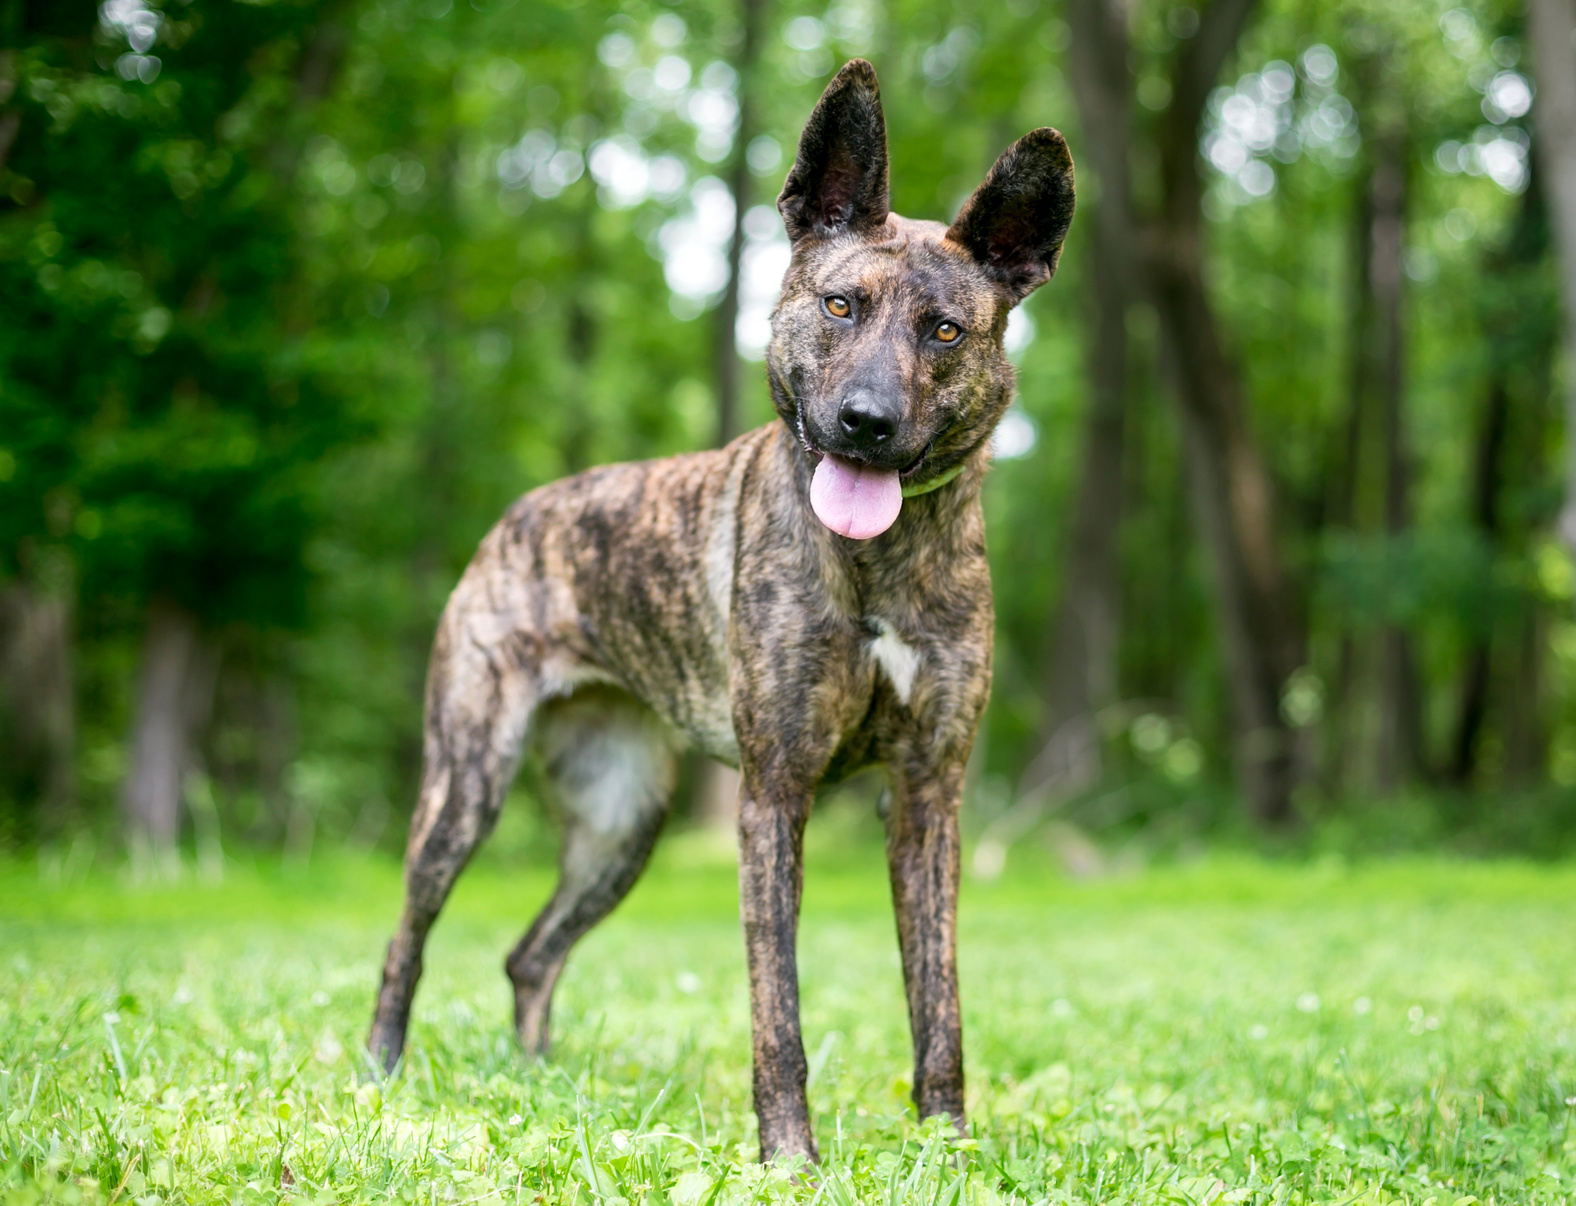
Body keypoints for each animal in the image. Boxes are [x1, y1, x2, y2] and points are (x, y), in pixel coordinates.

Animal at [368, 58, 1071, 1166]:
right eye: (838, 304)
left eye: (945, 331)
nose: (865, 424)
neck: (877, 561)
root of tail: (517, 516)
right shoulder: (772, 798)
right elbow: (776, 1007)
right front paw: (790, 1157)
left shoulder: (929, 800)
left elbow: (939, 1001)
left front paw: (946, 1147)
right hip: (465, 785)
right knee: (408, 939)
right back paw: (380, 1074)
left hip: (621, 823)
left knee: (531, 955)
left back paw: (536, 1081)